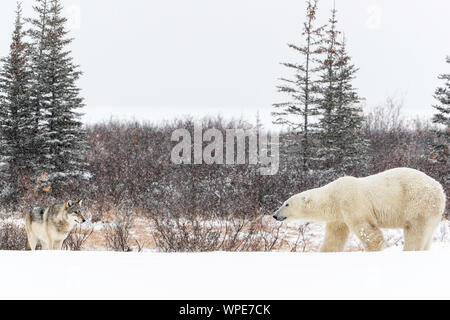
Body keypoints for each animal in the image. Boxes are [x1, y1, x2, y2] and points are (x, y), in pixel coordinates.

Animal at [272, 168, 444, 252]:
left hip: (417, 202)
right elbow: (335, 236)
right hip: (432, 213)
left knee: (414, 231)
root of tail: (440, 190)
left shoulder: (351, 202)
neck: (333, 195)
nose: (275, 215)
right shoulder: (339, 215)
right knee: (426, 234)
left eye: (286, 204)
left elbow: (368, 231)